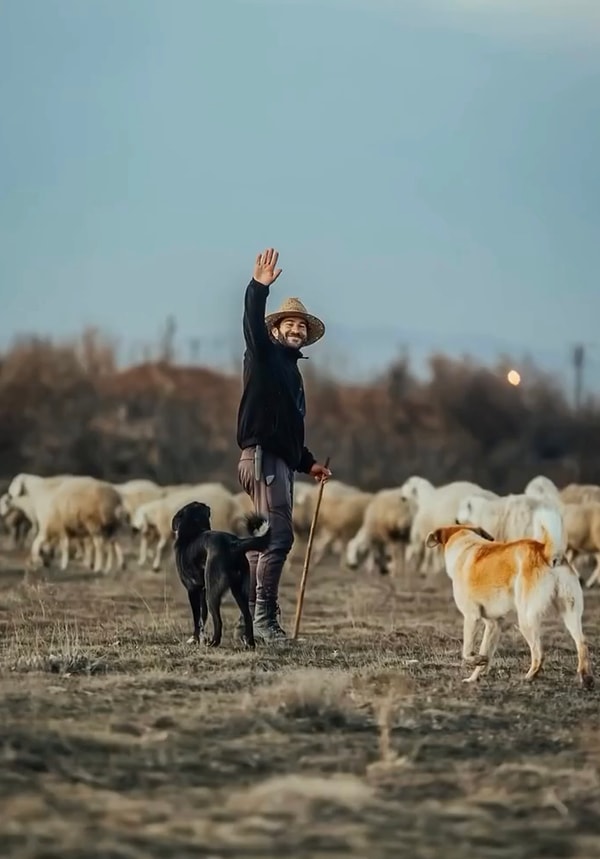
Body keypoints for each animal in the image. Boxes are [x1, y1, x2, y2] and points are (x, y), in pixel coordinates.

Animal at [170, 500, 270, 648]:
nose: (206, 504)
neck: (192, 531)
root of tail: (234, 543)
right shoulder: (202, 591)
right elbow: (203, 617)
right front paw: (201, 638)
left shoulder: (193, 590)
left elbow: (197, 619)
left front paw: (195, 639)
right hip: (239, 591)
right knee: (247, 616)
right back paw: (249, 643)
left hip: (213, 594)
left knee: (218, 620)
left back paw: (214, 642)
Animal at [428, 508, 592, 688]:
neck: (465, 542)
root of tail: (547, 552)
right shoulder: (494, 623)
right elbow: (486, 654)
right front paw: (474, 677)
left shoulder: (471, 617)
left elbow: (467, 652)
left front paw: (476, 661)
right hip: (570, 613)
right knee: (582, 644)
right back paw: (585, 678)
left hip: (526, 619)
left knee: (539, 653)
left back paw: (528, 677)